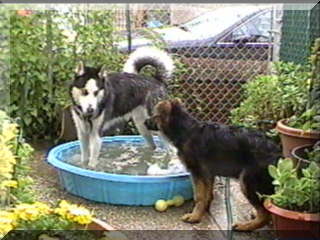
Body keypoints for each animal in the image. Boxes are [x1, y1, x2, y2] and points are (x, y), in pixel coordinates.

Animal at [146, 98, 282, 231]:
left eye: (154, 115)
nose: (145, 122)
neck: (186, 130)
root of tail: (277, 151)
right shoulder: (208, 174)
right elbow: (207, 195)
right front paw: (203, 211)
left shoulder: (198, 173)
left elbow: (199, 196)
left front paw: (195, 216)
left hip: (247, 181)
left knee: (265, 214)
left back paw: (246, 226)